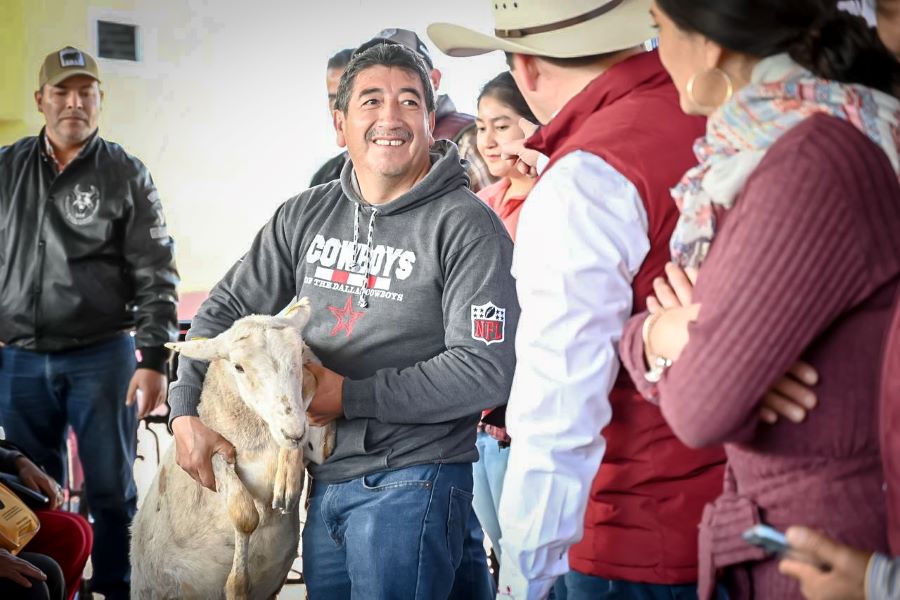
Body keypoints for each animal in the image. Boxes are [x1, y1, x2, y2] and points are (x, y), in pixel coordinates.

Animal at [130, 298, 334, 596]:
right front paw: (237, 586)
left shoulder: (317, 446)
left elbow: (313, 392)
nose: (294, 432)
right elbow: (244, 514)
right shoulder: (211, 454)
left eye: (298, 353)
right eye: (238, 367)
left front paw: (287, 477)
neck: (260, 437)